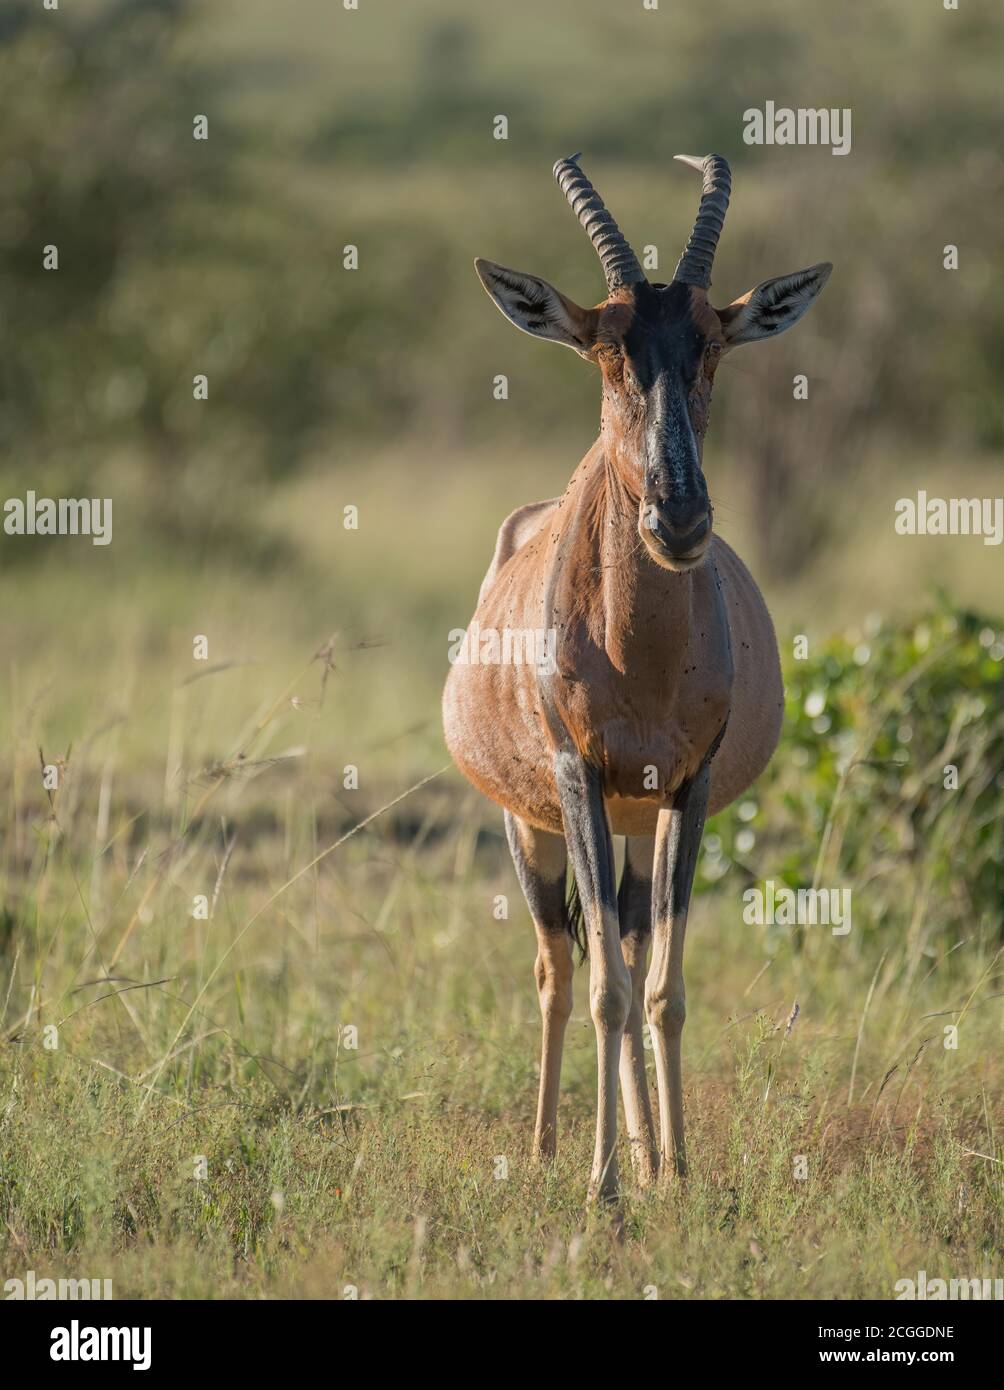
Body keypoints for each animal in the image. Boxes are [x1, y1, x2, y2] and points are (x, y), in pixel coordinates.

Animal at [439, 149, 828, 1195]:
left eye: (713, 343)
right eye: (604, 347)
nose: (679, 520)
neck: (640, 655)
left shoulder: (687, 785)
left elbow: (662, 987)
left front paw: (676, 1173)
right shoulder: (575, 776)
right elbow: (606, 988)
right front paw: (601, 1189)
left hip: (637, 817)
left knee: (628, 936)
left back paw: (651, 1154)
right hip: (530, 820)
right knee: (560, 966)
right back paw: (547, 1150)